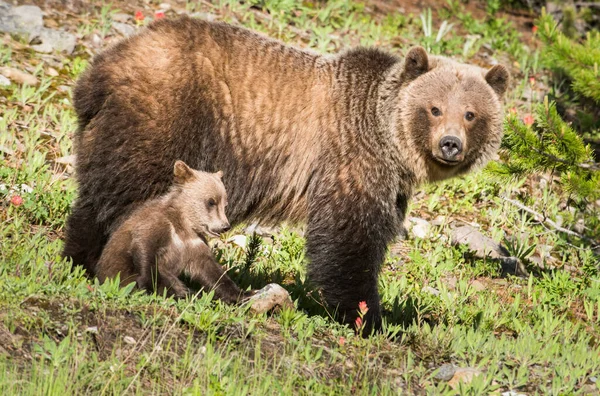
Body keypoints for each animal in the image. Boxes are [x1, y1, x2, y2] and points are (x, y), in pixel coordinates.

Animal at [64, 16, 506, 332]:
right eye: (434, 108)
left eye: (471, 113)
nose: (450, 144)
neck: (387, 139)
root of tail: (101, 67)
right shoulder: (350, 159)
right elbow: (349, 241)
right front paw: (365, 316)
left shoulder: (389, 184)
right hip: (165, 116)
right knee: (125, 195)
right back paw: (97, 262)